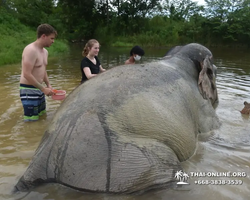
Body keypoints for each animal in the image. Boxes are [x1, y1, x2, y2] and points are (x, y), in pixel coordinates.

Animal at [14, 42, 220, 194]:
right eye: (215, 72)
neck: (177, 58)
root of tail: (40, 160)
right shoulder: (202, 106)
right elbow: (211, 129)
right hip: (128, 162)